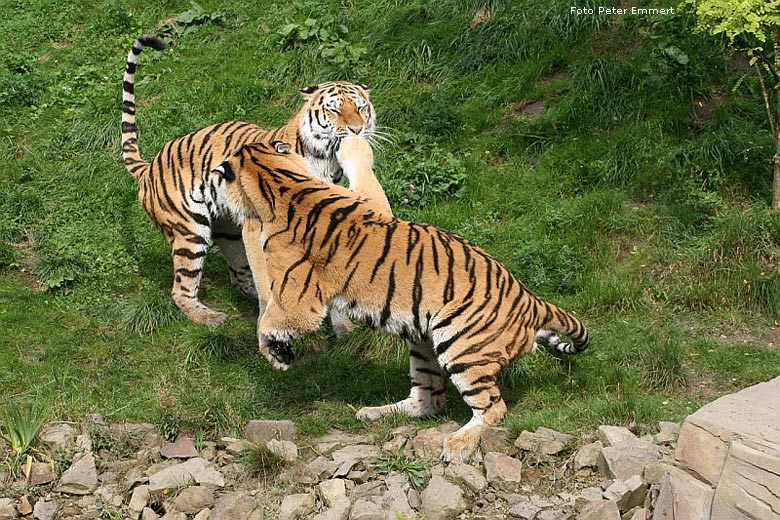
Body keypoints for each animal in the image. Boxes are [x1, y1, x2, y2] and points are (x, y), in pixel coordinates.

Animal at [119, 33, 378, 330]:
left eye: (361, 108)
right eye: (334, 111)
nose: (357, 129)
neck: (327, 160)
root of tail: (149, 166)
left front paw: (341, 326)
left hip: (229, 230)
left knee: (239, 278)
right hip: (190, 231)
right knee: (181, 289)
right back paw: (209, 317)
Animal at [210, 135, 588, 464]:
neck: (277, 178)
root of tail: (530, 300)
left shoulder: (299, 298)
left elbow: (271, 321)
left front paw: (275, 353)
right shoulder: (372, 203)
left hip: (459, 343)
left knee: (493, 407)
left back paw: (458, 444)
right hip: (423, 342)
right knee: (427, 400)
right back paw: (374, 412)